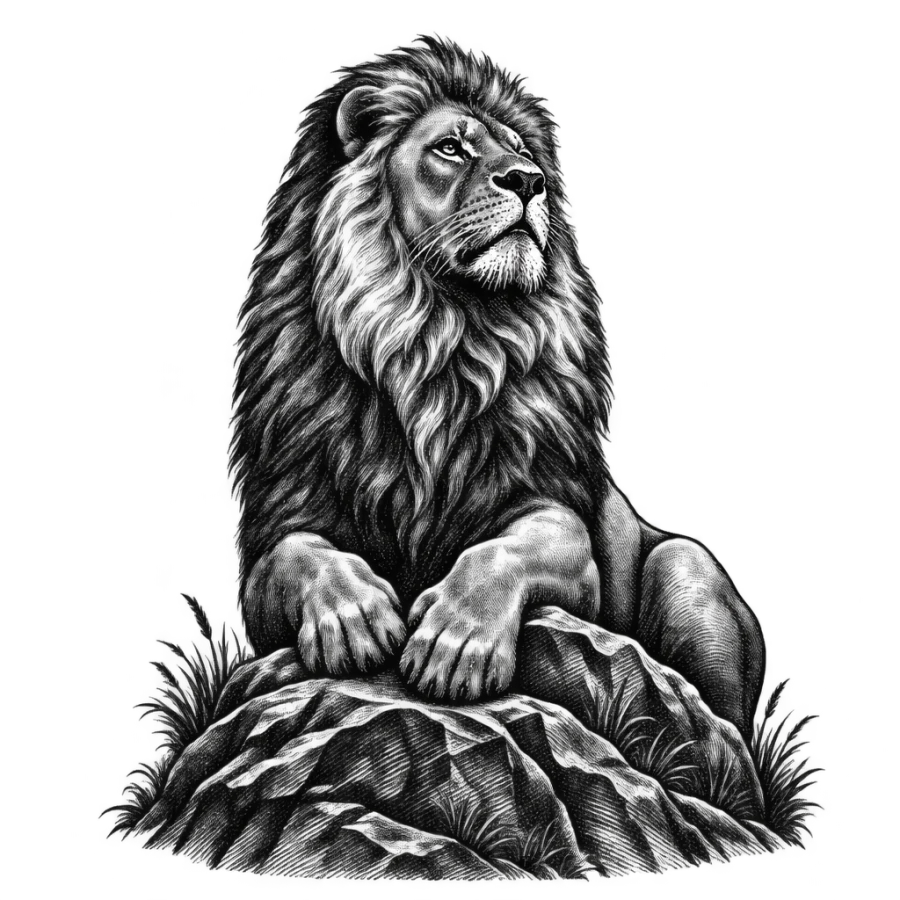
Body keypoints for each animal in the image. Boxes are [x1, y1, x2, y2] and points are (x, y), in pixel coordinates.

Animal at [230, 36, 764, 729]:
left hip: (688, 569)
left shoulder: (558, 515)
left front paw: (455, 651)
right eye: (449, 147)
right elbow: (299, 556)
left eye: (524, 152)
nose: (529, 180)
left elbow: (514, 547)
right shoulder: (282, 517)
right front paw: (353, 623)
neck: (440, 335)